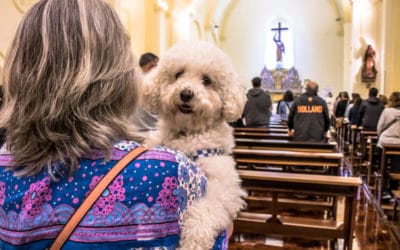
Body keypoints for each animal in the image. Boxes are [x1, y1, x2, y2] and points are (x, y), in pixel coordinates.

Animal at [141, 40, 247, 248]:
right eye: (178, 74)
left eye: (207, 80)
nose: (186, 93)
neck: (187, 134)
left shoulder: (224, 188)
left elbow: (206, 210)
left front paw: (194, 241)